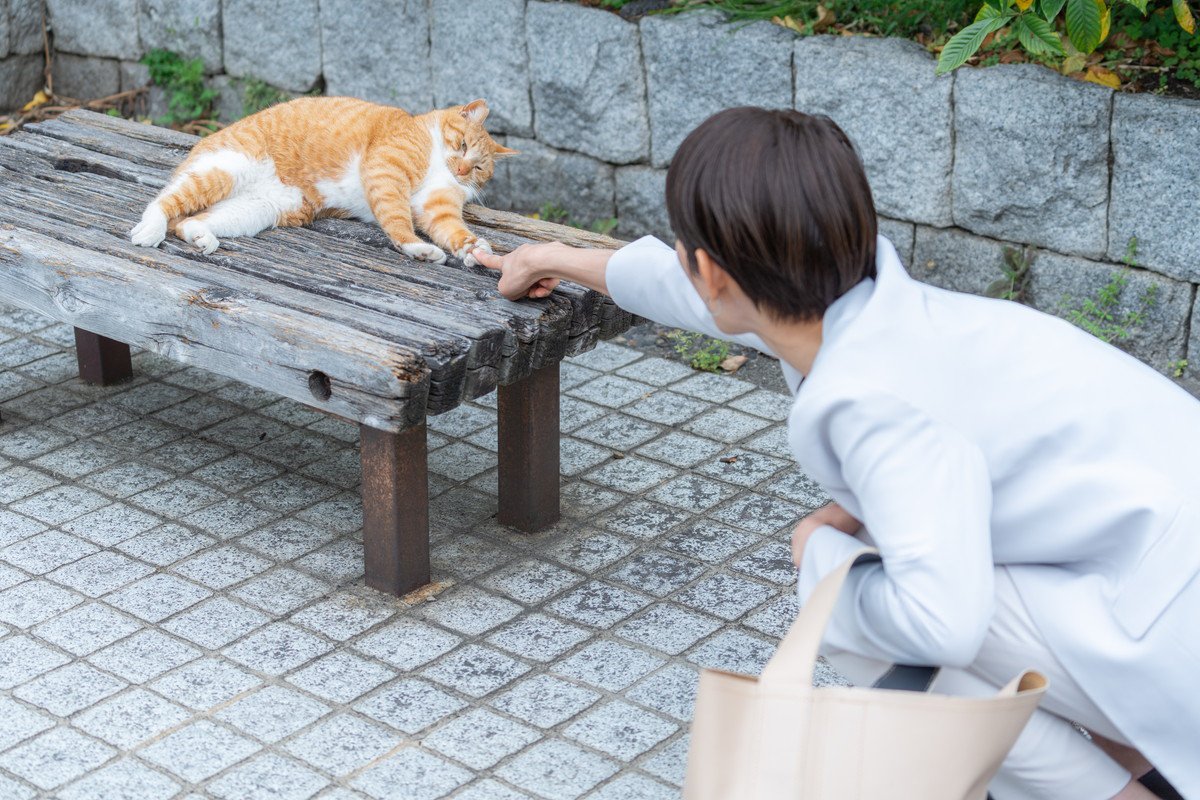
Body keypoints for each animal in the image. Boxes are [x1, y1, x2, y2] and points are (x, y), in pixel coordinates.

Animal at [130, 96, 516, 266]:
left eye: (479, 168)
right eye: (462, 144)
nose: (462, 171)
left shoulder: (437, 206)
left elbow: (453, 230)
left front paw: (474, 250)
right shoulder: (385, 170)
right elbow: (397, 219)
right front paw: (416, 247)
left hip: (260, 209)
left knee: (189, 221)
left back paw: (201, 236)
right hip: (226, 168)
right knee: (163, 202)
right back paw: (149, 230)